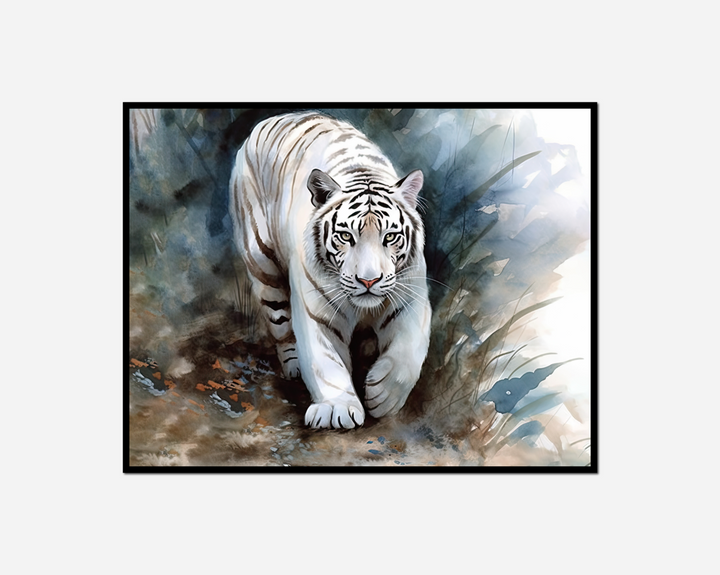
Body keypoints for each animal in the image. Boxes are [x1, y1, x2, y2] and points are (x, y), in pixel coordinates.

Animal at [229, 111, 431, 429]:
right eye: (346, 236)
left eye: (390, 237)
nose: (369, 280)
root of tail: (277, 116)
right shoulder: (317, 311)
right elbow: (325, 360)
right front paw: (338, 409)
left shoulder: (410, 298)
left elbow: (407, 351)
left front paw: (384, 396)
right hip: (263, 266)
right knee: (281, 326)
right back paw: (294, 367)